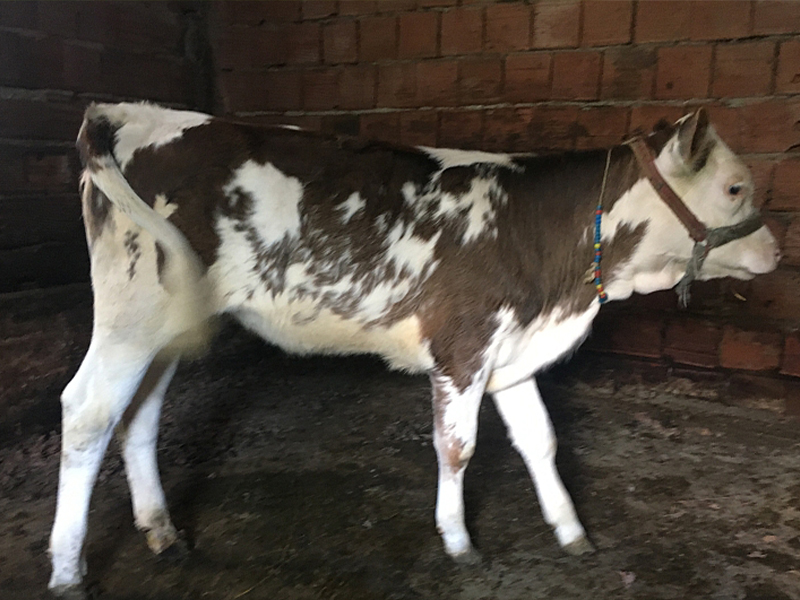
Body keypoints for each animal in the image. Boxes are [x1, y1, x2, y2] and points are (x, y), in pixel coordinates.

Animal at [48, 102, 779, 598]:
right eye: (735, 187)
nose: (776, 252)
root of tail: (139, 113)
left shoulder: (511, 349)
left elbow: (541, 441)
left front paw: (571, 529)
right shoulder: (463, 346)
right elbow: (457, 447)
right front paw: (456, 538)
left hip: (168, 322)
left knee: (138, 415)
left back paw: (163, 532)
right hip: (132, 309)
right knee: (88, 412)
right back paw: (67, 569)